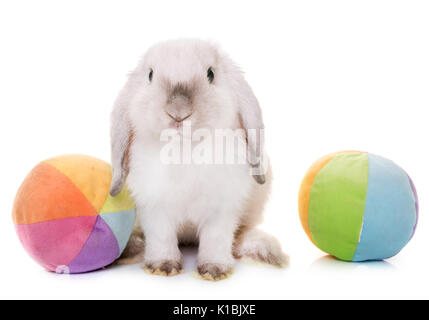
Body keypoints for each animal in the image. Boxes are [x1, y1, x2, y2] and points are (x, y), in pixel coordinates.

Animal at [109, 39, 288, 280]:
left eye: (210, 74)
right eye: (150, 75)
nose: (178, 110)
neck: (184, 148)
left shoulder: (221, 210)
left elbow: (215, 240)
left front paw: (214, 270)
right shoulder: (155, 209)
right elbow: (161, 237)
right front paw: (163, 266)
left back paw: (261, 249)